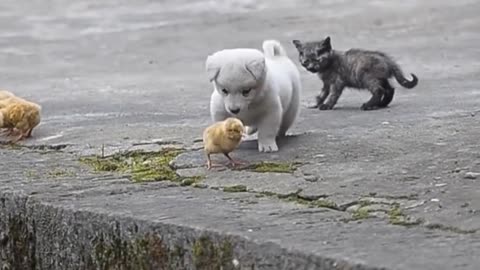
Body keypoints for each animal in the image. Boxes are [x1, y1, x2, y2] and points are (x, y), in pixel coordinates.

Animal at [290, 37, 418, 110]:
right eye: (306, 61)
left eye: (317, 60)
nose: (311, 68)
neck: (327, 66)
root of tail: (387, 59)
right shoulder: (326, 83)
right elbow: (321, 95)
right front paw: (315, 104)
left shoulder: (337, 82)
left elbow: (333, 95)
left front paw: (327, 105)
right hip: (380, 78)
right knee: (389, 89)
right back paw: (381, 104)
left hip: (367, 78)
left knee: (379, 90)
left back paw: (368, 105)